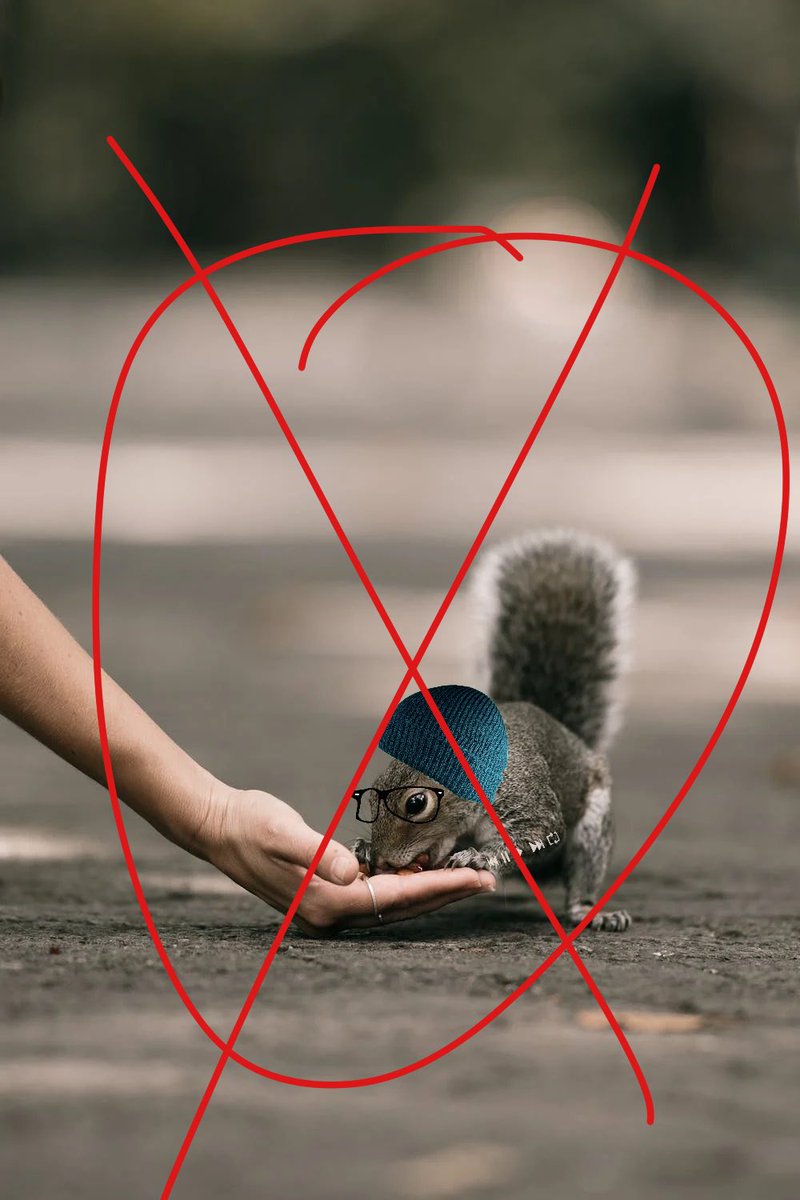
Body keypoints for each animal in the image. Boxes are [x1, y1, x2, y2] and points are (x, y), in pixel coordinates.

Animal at [351, 529, 636, 931]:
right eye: (373, 795)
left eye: (416, 803)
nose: (380, 861)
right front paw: (360, 848)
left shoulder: (528, 802)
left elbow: (537, 832)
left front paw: (479, 858)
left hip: (591, 829)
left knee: (583, 873)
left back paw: (591, 912)